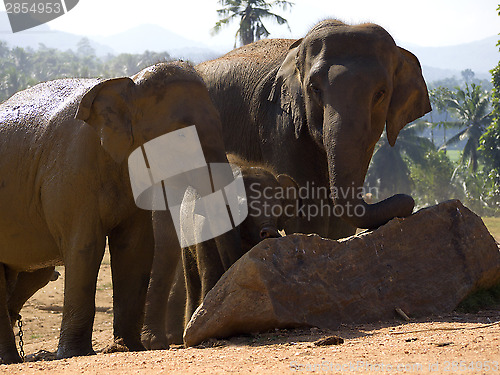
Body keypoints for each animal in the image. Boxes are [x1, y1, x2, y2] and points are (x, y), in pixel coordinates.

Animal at [0, 61, 234, 364]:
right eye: (182, 134)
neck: (128, 84)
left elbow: (137, 247)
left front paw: (128, 347)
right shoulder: (71, 172)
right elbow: (85, 247)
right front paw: (74, 353)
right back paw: (10, 360)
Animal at [141, 156, 298, 350]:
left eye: (278, 207)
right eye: (242, 208)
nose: (270, 232)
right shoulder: (203, 225)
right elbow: (210, 267)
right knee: (192, 278)